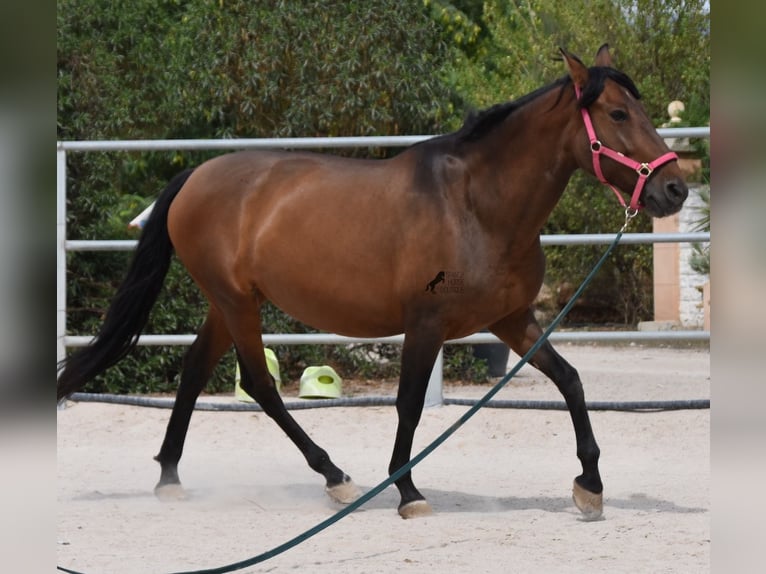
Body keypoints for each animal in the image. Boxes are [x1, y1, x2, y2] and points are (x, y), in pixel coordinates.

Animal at [55, 45, 688, 520]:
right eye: (618, 115)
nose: (675, 189)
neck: (476, 205)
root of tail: (195, 175)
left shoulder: (512, 319)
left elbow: (571, 381)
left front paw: (590, 486)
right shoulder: (426, 323)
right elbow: (408, 405)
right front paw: (407, 492)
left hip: (227, 301)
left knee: (193, 370)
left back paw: (170, 477)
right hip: (236, 303)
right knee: (260, 384)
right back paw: (333, 474)